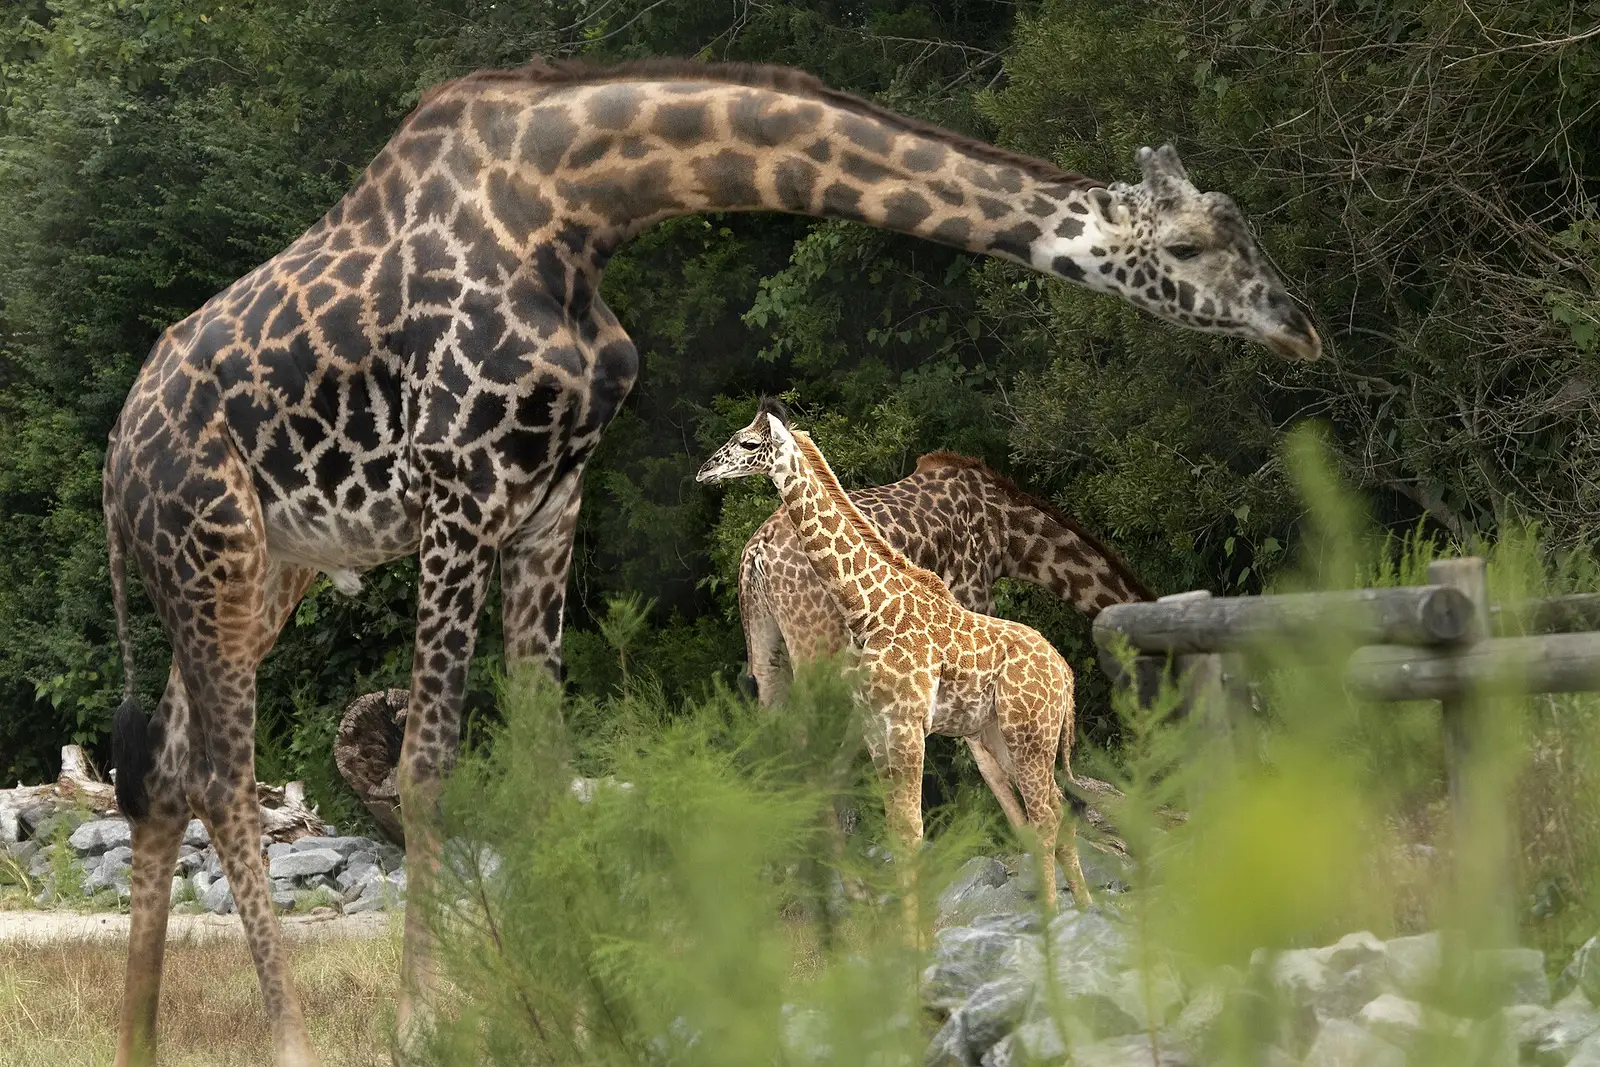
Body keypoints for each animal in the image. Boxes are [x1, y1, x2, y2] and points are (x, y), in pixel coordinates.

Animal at [696, 399, 1094, 924]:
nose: (704, 471)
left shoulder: (907, 725)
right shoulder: (875, 726)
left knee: (1046, 812)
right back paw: (1085, 907)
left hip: (1029, 732)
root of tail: (1066, 675)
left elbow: (911, 833)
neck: (871, 607)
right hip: (1008, 732)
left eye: (747, 442)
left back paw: (1052, 917)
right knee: (1055, 805)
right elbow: (897, 833)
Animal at [737, 450, 1153, 832]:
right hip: (813, 645)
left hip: (767, 643)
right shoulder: (971, 603)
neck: (1010, 534)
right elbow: (983, 755)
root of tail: (755, 555)